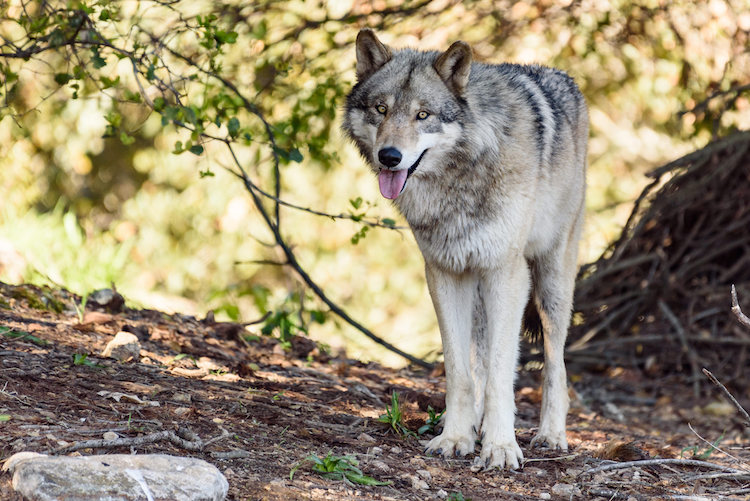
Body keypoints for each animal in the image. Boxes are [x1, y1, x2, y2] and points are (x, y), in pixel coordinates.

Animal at [344, 30, 592, 468]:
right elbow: (461, 371)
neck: (459, 177)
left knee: (555, 364)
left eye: (423, 115)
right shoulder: (445, 272)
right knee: (482, 358)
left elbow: (499, 374)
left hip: (551, 282)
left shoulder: (506, 273)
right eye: (381, 109)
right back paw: (475, 425)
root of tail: (563, 76)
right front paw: (456, 437)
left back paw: (551, 435)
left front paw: (501, 447)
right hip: (479, 286)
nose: (389, 157)